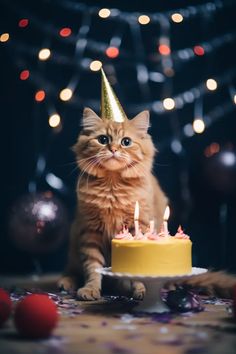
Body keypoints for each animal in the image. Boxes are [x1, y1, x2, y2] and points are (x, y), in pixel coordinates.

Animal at [59, 107, 168, 298]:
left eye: (126, 142)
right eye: (103, 140)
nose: (114, 149)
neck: (112, 186)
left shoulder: (138, 226)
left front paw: (140, 289)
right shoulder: (90, 232)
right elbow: (93, 267)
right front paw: (91, 289)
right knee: (72, 271)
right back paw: (67, 282)